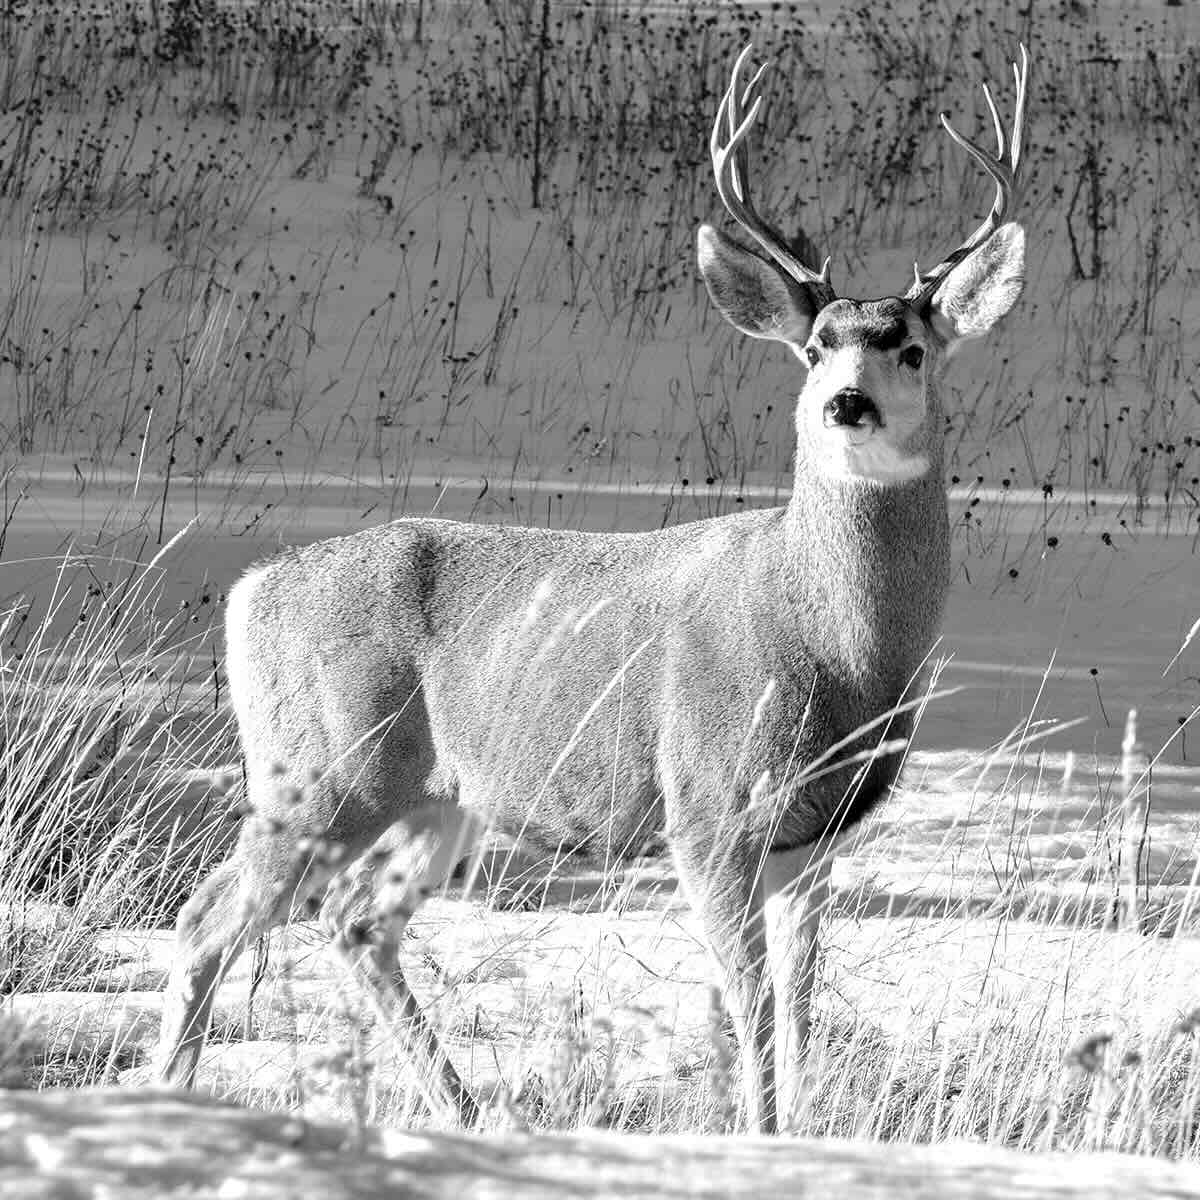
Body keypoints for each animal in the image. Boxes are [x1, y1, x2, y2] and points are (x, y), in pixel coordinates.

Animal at [155, 44, 1029, 1133]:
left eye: (910, 346)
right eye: (815, 344)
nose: (846, 403)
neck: (836, 651)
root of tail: (251, 591)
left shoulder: (819, 833)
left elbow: (800, 1002)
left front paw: (798, 1129)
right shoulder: (707, 804)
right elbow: (749, 1001)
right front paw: (757, 1132)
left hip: (436, 798)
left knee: (356, 925)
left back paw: (464, 1111)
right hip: (319, 772)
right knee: (206, 918)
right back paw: (167, 1095)